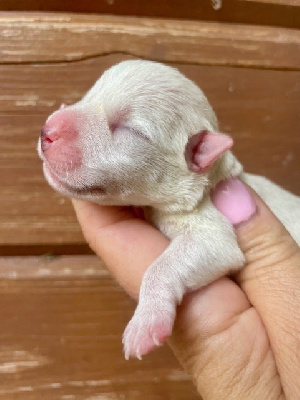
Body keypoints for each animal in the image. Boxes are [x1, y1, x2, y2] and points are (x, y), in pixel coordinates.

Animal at [38, 59, 300, 360]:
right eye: (87, 96)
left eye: (131, 131)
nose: (47, 131)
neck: (214, 177)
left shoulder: (211, 225)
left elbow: (168, 265)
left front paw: (145, 323)